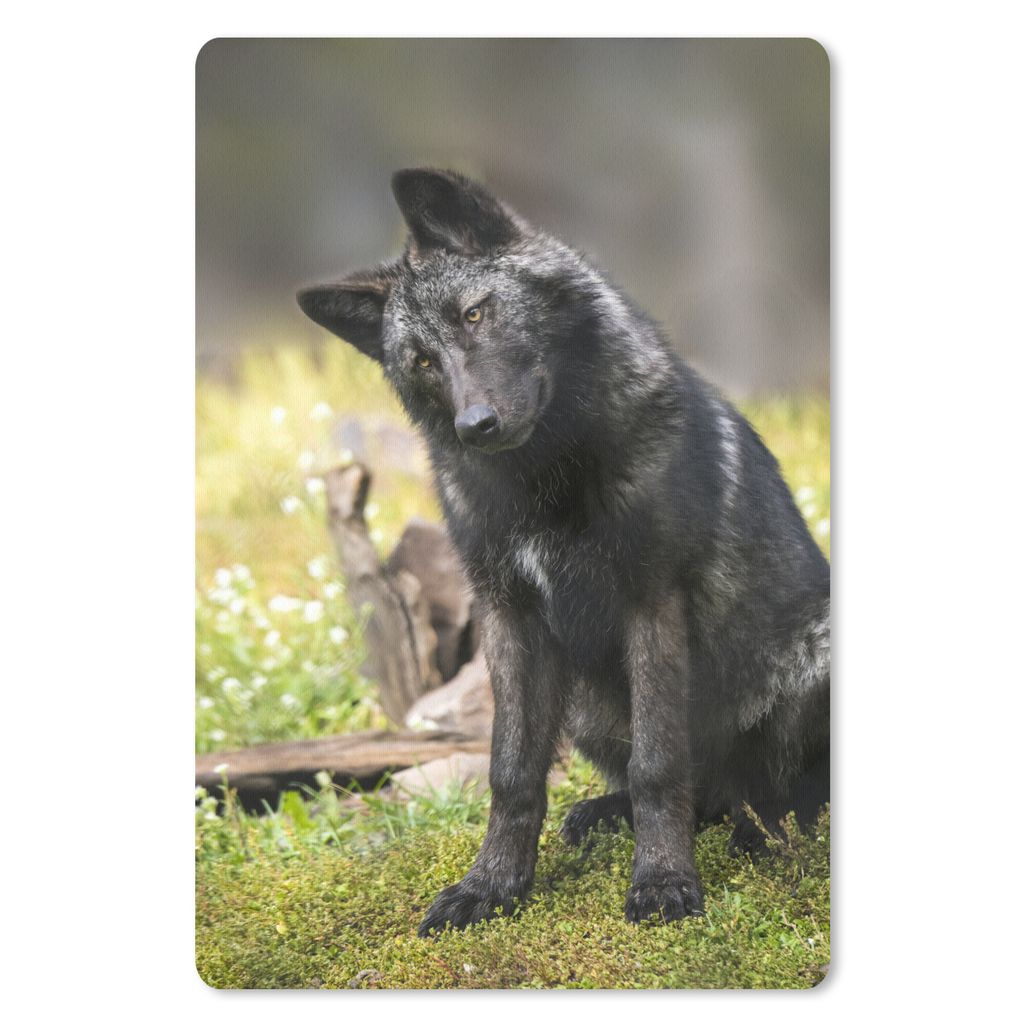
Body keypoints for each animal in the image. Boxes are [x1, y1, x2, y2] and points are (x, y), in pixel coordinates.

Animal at [297, 169, 830, 934]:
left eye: (476, 314)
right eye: (422, 361)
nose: (476, 424)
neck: (544, 485)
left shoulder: (651, 603)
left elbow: (657, 765)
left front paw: (663, 882)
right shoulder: (510, 618)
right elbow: (512, 773)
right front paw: (491, 886)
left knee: (773, 794)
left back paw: (761, 830)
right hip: (581, 705)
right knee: (702, 794)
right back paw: (612, 816)